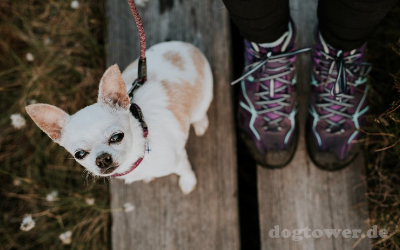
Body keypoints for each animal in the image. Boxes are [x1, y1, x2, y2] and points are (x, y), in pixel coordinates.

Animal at [25, 41, 212, 193]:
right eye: (79, 154)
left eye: (117, 137)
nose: (102, 159)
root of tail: (187, 47)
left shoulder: (178, 160)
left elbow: (185, 170)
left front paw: (188, 182)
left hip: (204, 98)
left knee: (200, 114)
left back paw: (200, 123)